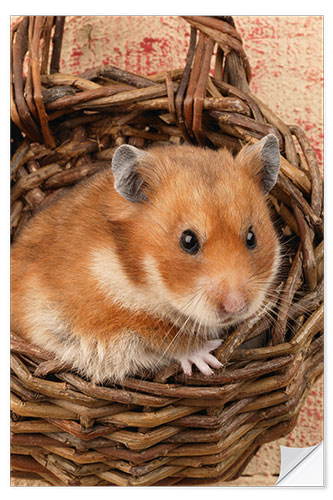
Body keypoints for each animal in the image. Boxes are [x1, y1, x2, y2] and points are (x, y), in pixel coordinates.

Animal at [10, 134, 278, 382]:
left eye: (252, 237)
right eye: (188, 240)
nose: (236, 306)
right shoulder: (108, 318)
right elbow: (168, 337)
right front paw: (209, 361)